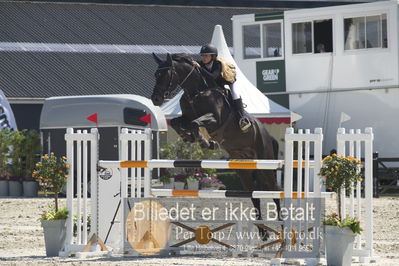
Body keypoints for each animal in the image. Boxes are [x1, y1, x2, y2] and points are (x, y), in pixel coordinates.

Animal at [152, 52, 282, 239]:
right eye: (156, 74)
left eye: (166, 74)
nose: (155, 99)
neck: (196, 93)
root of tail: (268, 135)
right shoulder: (185, 117)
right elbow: (179, 122)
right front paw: (195, 138)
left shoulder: (214, 119)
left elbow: (195, 123)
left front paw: (206, 141)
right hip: (244, 171)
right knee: (255, 196)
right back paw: (263, 232)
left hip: (266, 164)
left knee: (275, 192)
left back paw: (282, 226)